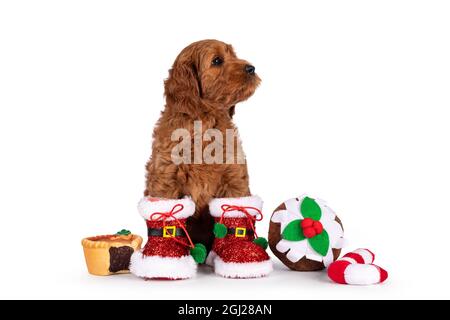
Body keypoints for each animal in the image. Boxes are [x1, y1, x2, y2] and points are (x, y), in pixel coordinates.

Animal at [144, 39, 260, 250]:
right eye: (217, 60)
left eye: (233, 55)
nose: (251, 68)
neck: (205, 124)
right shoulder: (166, 182)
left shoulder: (234, 180)